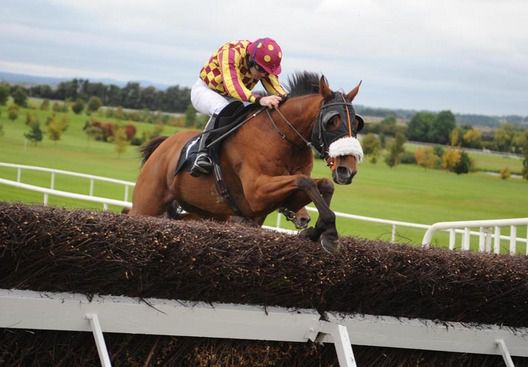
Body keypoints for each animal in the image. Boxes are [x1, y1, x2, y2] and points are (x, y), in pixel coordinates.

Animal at [130, 72, 366, 256]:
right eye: (332, 121)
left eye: (357, 123)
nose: (347, 169)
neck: (284, 137)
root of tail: (163, 145)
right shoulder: (256, 193)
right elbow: (304, 181)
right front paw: (330, 234)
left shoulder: (281, 200)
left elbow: (324, 184)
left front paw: (318, 231)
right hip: (147, 205)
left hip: (205, 212)